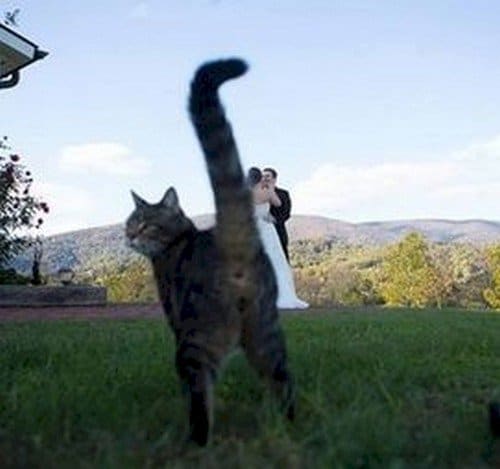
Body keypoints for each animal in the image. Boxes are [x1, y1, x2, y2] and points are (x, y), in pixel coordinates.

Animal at [125, 59, 294, 446]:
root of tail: (232, 240)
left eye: (145, 224)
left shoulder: (175, 320)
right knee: (283, 381)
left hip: (196, 340)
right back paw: (288, 428)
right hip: (265, 332)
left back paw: (196, 441)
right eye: (130, 223)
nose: (129, 236)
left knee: (200, 394)